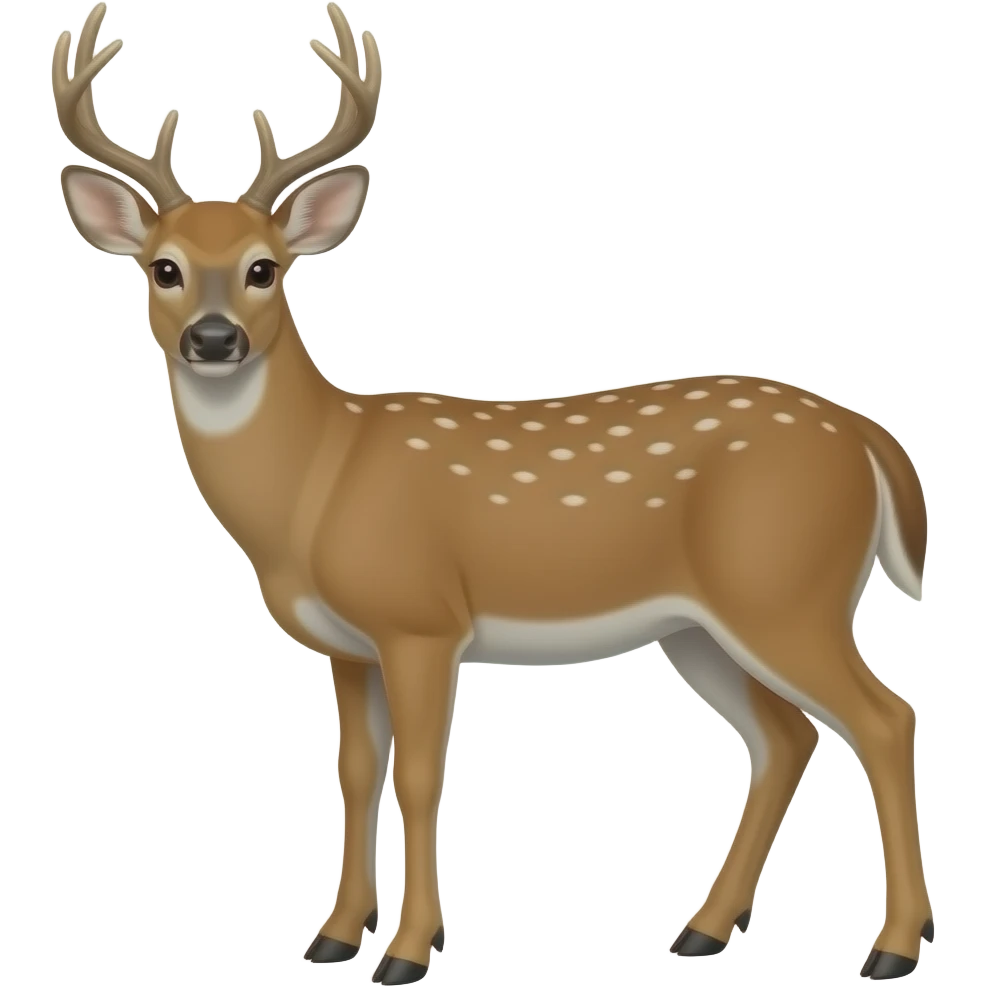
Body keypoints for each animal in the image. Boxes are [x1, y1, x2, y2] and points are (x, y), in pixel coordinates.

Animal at [52, 5, 934, 983]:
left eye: (265, 267)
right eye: (163, 267)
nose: (214, 340)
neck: (317, 482)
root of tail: (870, 439)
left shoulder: (421, 620)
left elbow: (420, 774)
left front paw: (408, 950)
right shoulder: (349, 646)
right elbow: (355, 771)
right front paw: (335, 935)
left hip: (785, 589)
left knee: (884, 719)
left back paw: (892, 947)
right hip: (700, 626)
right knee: (786, 737)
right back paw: (703, 929)